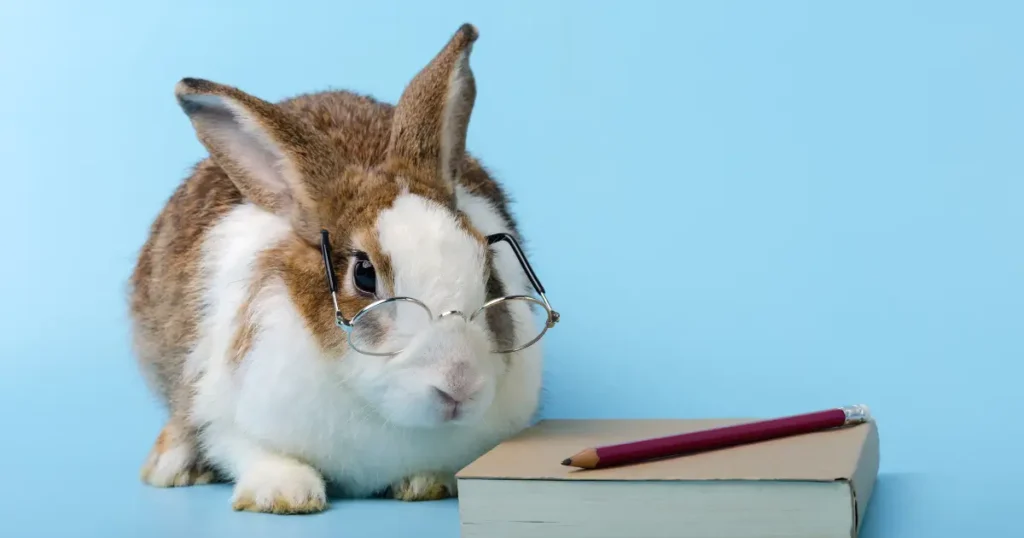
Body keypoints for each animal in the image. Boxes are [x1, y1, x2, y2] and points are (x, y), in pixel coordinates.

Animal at [132, 23, 557, 514]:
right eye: (364, 275)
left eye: (488, 272)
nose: (459, 387)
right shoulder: (224, 411)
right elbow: (248, 448)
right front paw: (286, 494)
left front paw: (425, 484)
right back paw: (170, 468)